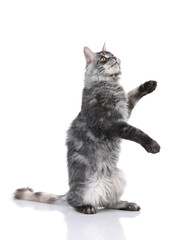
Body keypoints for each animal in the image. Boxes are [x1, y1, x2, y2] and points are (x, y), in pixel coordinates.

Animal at [14, 44, 160, 215]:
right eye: (103, 58)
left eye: (113, 54)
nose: (114, 58)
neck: (109, 84)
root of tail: (69, 191)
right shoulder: (112, 123)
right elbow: (136, 132)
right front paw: (152, 145)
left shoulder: (125, 109)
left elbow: (133, 94)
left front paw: (148, 85)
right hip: (86, 186)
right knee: (75, 202)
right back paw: (86, 207)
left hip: (118, 177)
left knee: (108, 202)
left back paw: (127, 205)